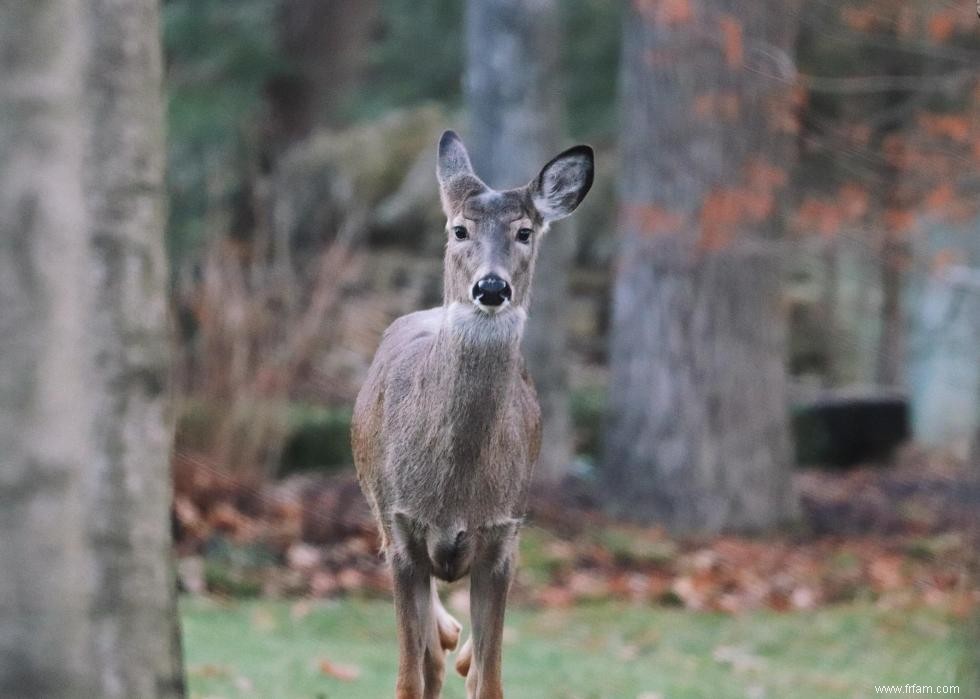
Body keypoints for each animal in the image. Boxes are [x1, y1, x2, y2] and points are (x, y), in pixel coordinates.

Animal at [352, 133, 592, 699]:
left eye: (525, 231)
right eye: (459, 229)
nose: (491, 288)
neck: (455, 493)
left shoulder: (502, 540)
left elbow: (491, 682)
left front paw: (471, 658)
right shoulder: (400, 532)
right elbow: (408, 680)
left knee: (460, 662)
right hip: (378, 512)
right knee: (431, 657)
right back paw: (447, 636)